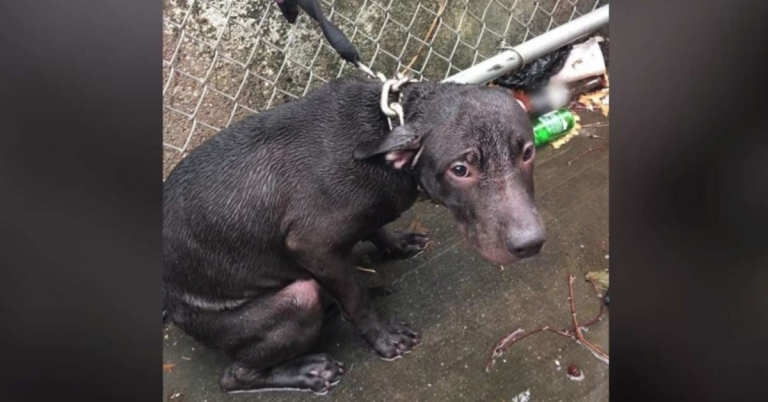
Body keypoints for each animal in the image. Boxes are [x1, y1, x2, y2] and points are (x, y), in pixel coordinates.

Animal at [164, 74, 544, 392]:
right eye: (460, 169)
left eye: (528, 152)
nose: (531, 244)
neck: (389, 127)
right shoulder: (313, 245)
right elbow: (357, 297)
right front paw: (384, 339)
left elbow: (375, 228)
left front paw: (398, 244)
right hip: (295, 300)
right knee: (233, 376)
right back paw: (308, 371)